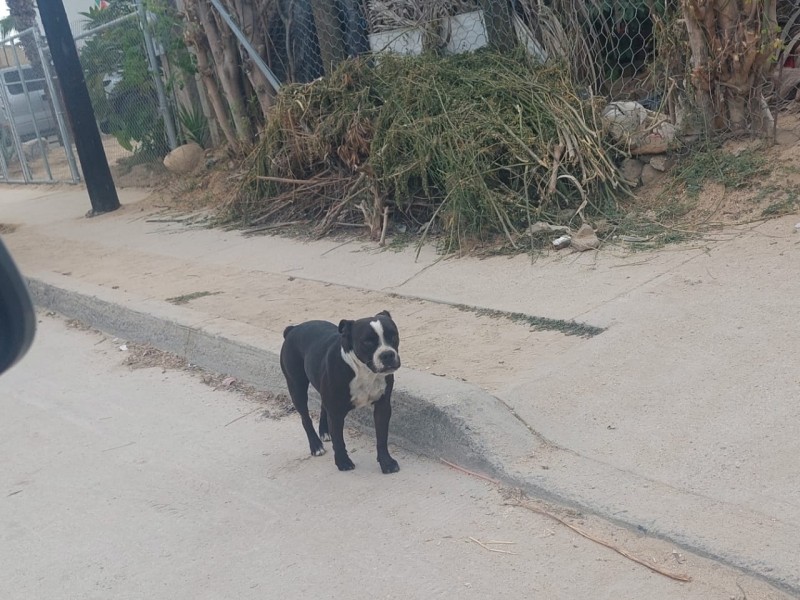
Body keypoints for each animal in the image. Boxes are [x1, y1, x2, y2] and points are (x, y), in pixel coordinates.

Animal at [282, 310, 404, 474]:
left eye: (393, 336)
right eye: (367, 342)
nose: (387, 354)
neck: (364, 371)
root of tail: (293, 329)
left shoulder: (383, 407)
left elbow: (382, 437)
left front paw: (386, 462)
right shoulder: (336, 413)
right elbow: (339, 441)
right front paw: (343, 462)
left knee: (323, 406)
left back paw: (324, 431)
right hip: (296, 387)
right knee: (305, 418)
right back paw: (315, 445)